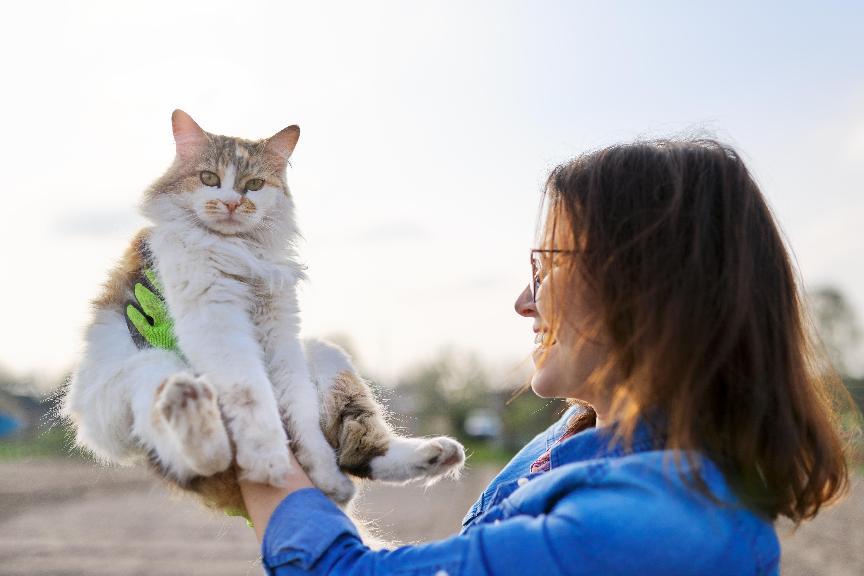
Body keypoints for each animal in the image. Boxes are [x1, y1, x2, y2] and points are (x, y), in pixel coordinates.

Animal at [62, 110, 466, 516]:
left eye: (254, 185)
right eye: (209, 178)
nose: (231, 204)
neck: (239, 250)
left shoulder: (281, 330)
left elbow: (302, 417)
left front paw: (321, 474)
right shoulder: (216, 321)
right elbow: (251, 394)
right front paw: (269, 459)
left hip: (326, 355)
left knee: (358, 451)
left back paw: (432, 456)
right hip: (147, 370)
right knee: (207, 457)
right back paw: (195, 409)